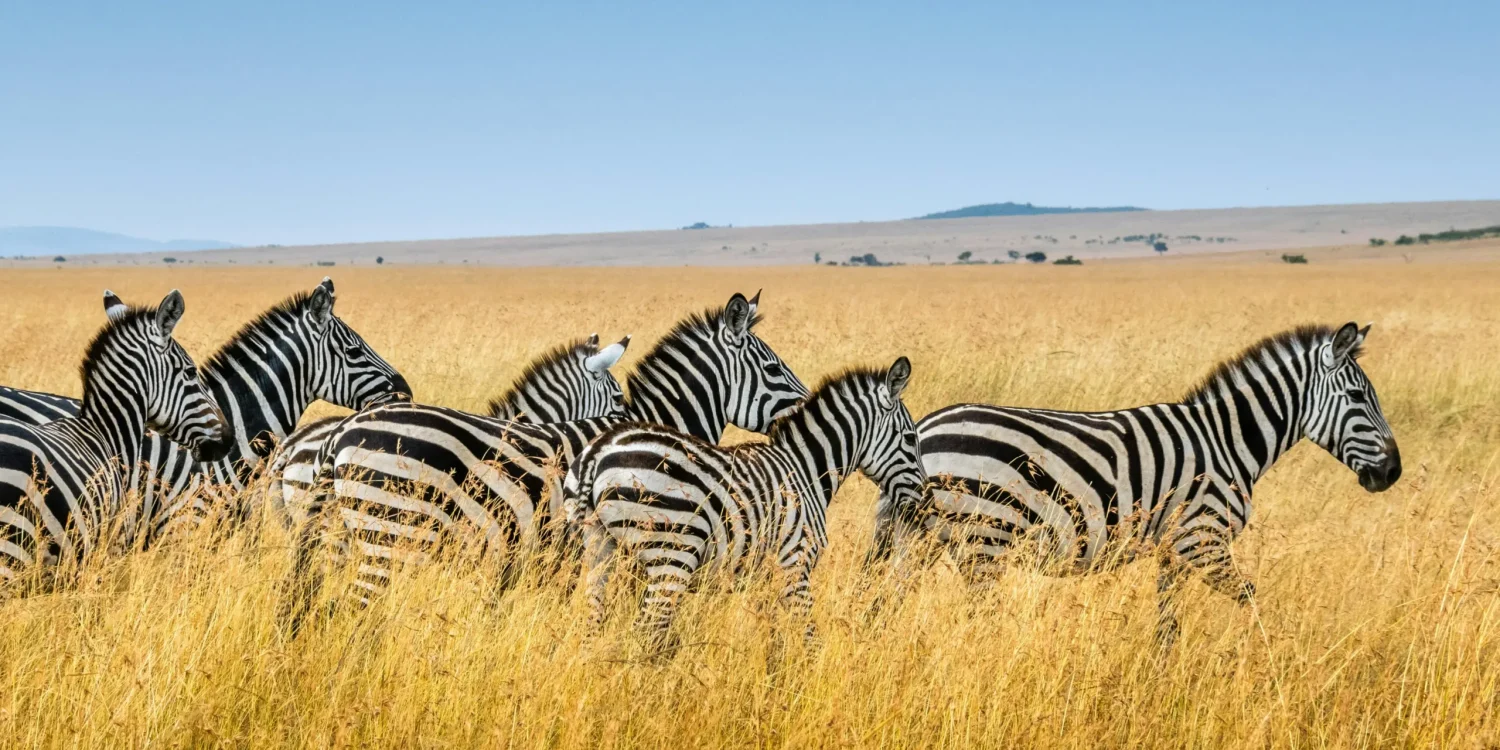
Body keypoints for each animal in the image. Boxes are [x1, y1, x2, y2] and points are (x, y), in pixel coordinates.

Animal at [569, 357, 922, 648]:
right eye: (910, 438)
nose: (923, 498)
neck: (806, 469)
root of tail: (598, 451)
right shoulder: (795, 563)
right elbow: (808, 637)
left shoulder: (766, 575)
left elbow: (774, 638)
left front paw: (773, 679)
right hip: (671, 555)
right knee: (647, 630)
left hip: (599, 547)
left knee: (591, 625)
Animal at [880, 322, 1401, 649]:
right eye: (1358, 397)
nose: (1393, 472)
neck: (1227, 440)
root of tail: (923, 429)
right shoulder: (1203, 540)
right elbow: (1251, 599)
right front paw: (1269, 663)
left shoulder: (1175, 548)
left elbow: (1168, 624)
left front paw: (1161, 677)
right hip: (985, 538)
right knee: (975, 621)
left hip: (920, 539)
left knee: (884, 603)